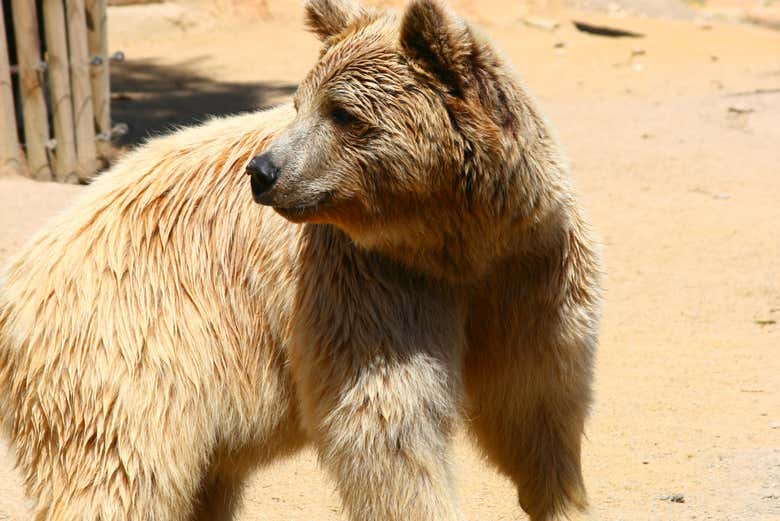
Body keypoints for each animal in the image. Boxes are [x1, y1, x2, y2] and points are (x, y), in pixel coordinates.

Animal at [0, 1, 601, 520]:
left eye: (343, 113)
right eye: (301, 102)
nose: (263, 170)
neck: (454, 243)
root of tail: (20, 276)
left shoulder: (529, 269)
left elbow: (533, 399)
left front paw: (559, 497)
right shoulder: (369, 279)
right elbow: (388, 424)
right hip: (125, 351)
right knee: (118, 476)